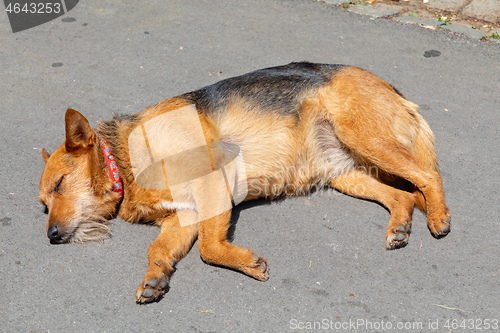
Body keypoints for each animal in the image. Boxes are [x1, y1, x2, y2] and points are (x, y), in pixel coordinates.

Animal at [40, 62, 450, 304]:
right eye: (44, 206)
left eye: (60, 184)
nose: (52, 237)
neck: (123, 159)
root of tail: (398, 93)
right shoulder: (184, 218)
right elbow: (158, 250)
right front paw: (155, 278)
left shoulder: (212, 183)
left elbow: (209, 248)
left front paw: (246, 263)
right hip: (345, 174)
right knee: (404, 196)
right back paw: (399, 226)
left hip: (364, 139)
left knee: (428, 176)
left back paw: (439, 218)